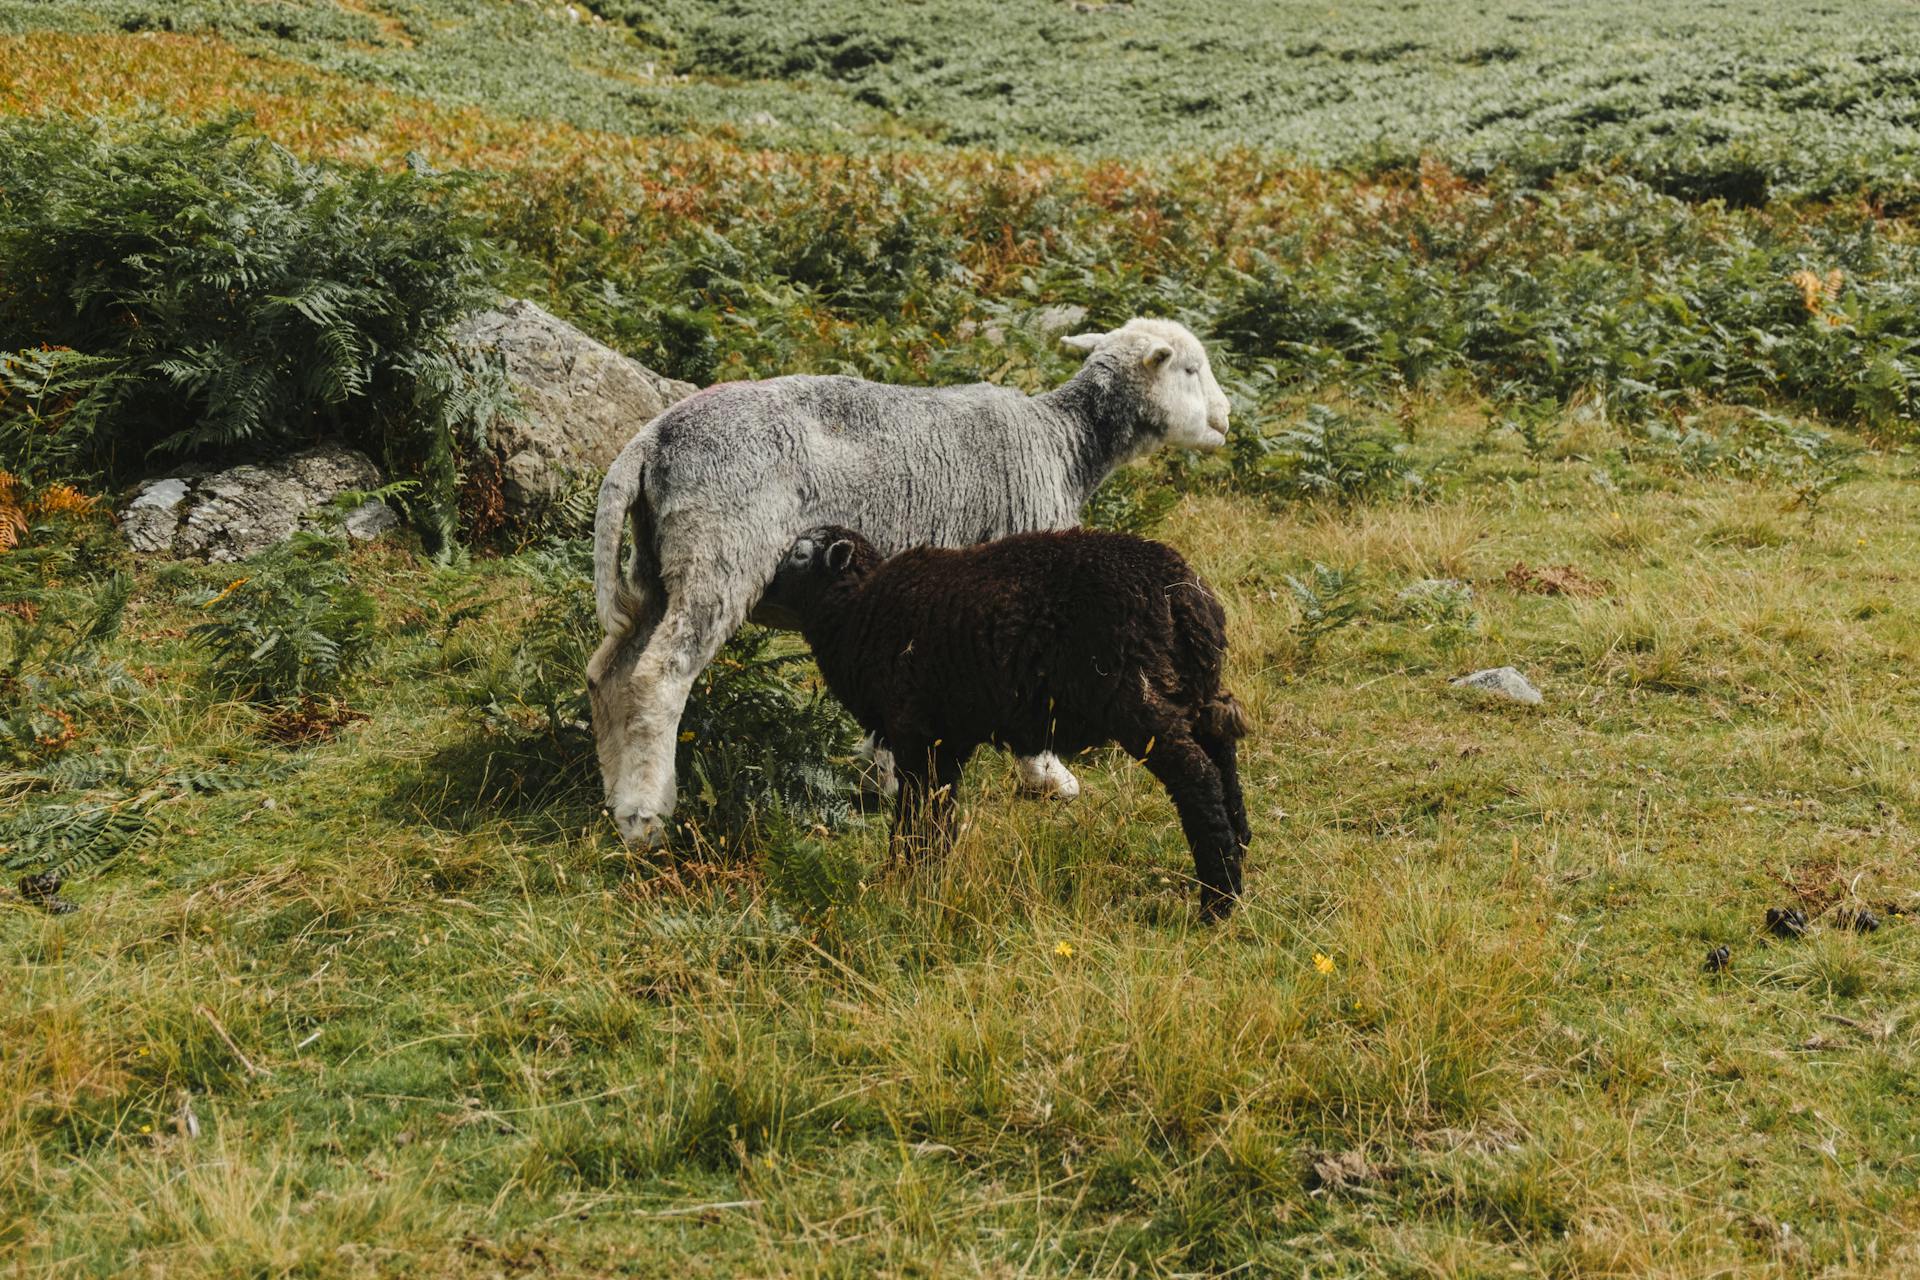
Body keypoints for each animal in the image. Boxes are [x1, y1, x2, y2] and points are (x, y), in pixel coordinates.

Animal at [756, 525, 1251, 917]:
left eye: (798, 554)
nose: (759, 591)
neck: (856, 610)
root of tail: (1183, 593)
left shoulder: (915, 730)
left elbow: (917, 809)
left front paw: (900, 875)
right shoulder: (947, 737)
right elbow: (939, 809)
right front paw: (929, 873)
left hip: (1134, 698)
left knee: (1197, 776)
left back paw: (1218, 899)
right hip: (1193, 688)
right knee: (1222, 755)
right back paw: (1241, 845)